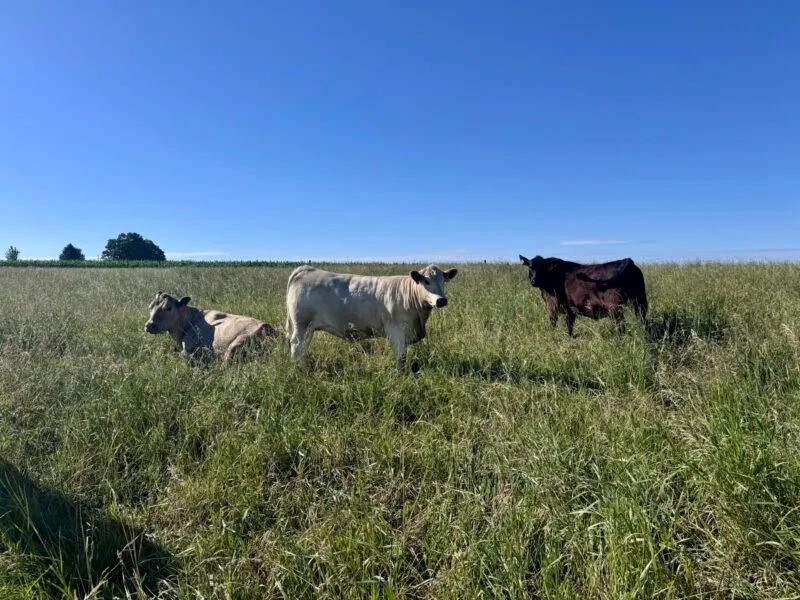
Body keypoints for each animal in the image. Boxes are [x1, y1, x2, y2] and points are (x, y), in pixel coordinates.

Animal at [144, 292, 277, 363]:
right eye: (150, 307)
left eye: (169, 308)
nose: (149, 325)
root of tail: (267, 328)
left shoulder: (187, 350)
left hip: (235, 346)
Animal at [285, 264, 458, 371]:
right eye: (426, 281)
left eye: (444, 281)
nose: (441, 300)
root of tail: (306, 269)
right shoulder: (396, 331)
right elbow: (400, 358)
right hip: (301, 325)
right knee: (297, 347)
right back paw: (299, 369)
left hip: (308, 328)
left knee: (303, 348)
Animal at [518, 255, 648, 336]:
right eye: (530, 267)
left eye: (542, 268)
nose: (534, 281)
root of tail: (627, 261)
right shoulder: (569, 308)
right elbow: (569, 325)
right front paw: (569, 337)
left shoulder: (552, 304)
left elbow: (553, 322)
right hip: (641, 302)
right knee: (642, 321)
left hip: (615, 308)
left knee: (621, 327)